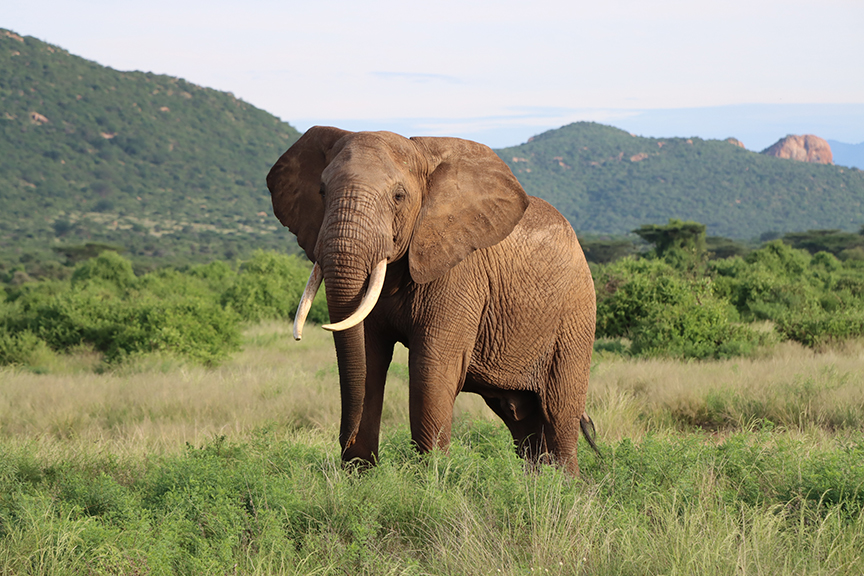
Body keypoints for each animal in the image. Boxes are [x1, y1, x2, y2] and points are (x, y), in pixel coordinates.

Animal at [266, 126, 598, 476]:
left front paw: (431, 479)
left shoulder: (458, 273)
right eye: (321, 190)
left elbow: (430, 368)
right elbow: (369, 359)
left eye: (398, 196)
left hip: (575, 315)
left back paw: (564, 484)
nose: (345, 442)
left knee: (561, 409)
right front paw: (361, 478)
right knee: (522, 418)